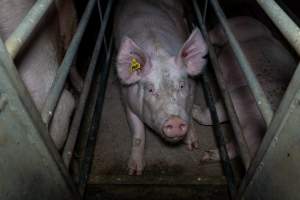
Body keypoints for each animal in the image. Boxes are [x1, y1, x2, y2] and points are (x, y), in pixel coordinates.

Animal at [113, 0, 207, 175]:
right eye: (150, 90)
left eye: (182, 85)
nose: (175, 121)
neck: (159, 53)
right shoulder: (127, 101)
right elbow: (138, 134)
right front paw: (134, 171)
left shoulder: (192, 91)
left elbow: (190, 115)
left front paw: (193, 146)